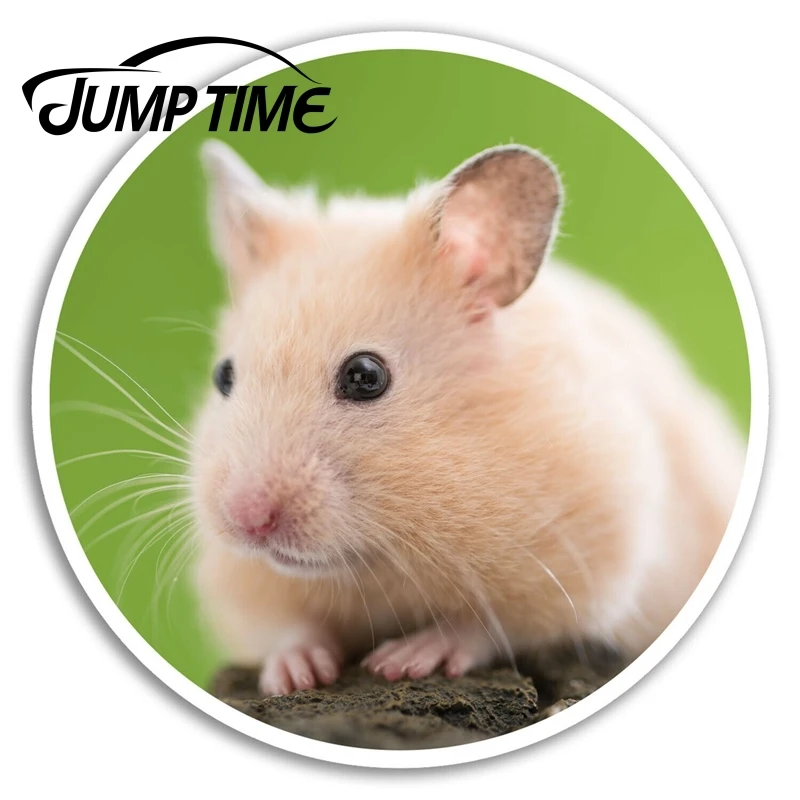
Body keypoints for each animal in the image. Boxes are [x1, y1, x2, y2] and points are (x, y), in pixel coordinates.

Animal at [189, 140, 746, 696]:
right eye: (222, 375)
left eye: (366, 375)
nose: (247, 519)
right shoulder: (247, 585)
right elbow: (288, 626)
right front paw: (295, 676)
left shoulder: (590, 554)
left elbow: (487, 625)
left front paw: (402, 662)